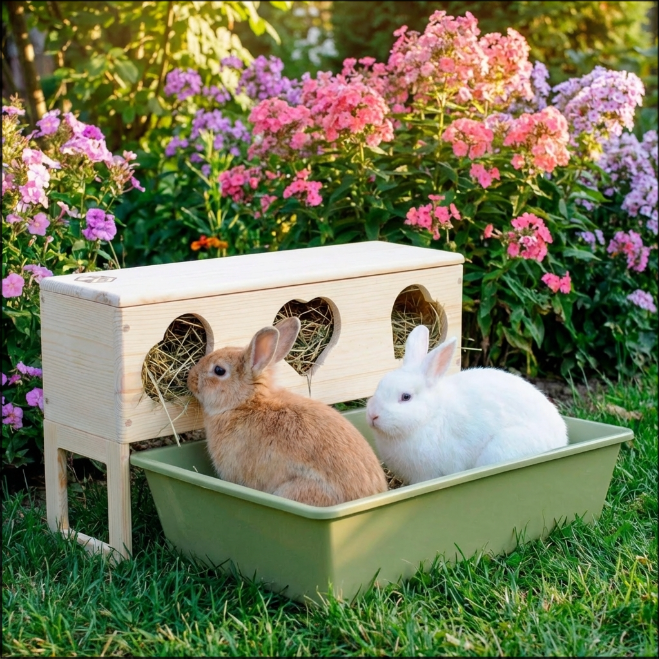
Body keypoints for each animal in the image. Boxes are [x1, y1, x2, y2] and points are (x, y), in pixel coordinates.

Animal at [365, 325, 569, 485]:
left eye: (406, 397)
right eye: (379, 385)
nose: (373, 415)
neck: (429, 416)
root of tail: (562, 440)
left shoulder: (426, 474)